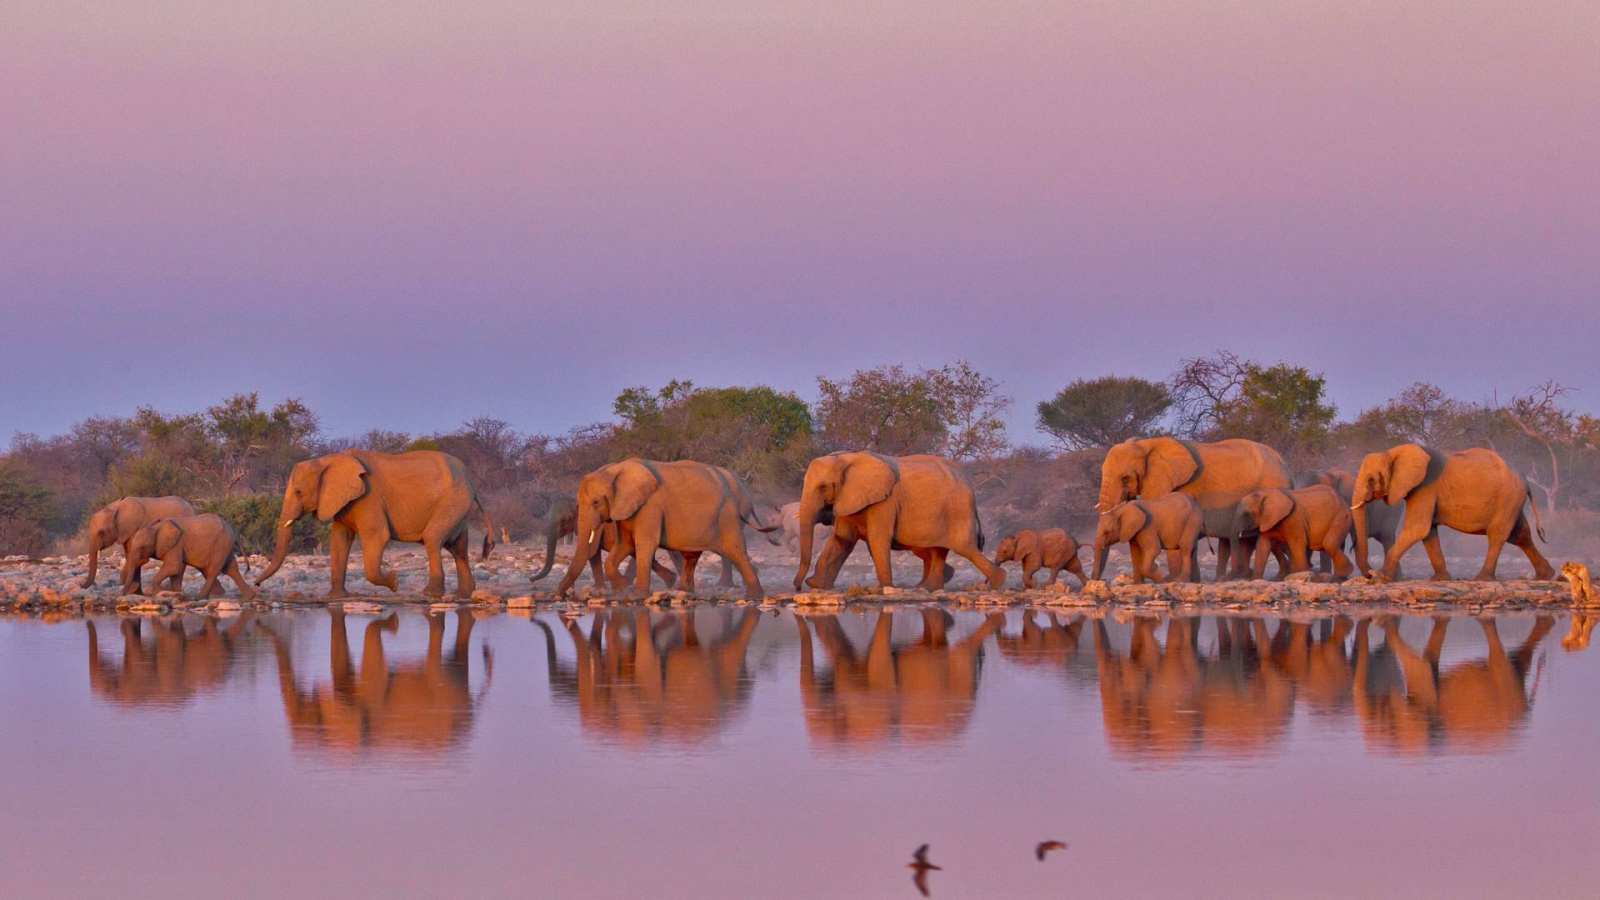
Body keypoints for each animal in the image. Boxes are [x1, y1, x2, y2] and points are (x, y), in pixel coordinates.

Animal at [120, 514, 257, 601]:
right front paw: (176, 595)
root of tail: (232, 530)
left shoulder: (176, 544)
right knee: (231, 569)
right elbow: (176, 571)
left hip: (221, 545)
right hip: (225, 546)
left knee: (213, 570)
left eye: (143, 547)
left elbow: (174, 567)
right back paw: (249, 597)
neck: (156, 527)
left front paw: (159, 592)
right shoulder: (176, 546)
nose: (121, 595)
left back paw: (199, 598)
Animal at [255, 449, 495, 599]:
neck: (329, 459)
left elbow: (377, 536)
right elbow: (340, 539)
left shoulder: (368, 498)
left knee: (434, 538)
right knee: (458, 547)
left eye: (298, 492)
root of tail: (471, 481)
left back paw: (430, 594)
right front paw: (336, 597)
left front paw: (394, 582)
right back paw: (463, 594)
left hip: (454, 500)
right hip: (458, 506)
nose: (256, 585)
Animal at [556, 458, 773, 600]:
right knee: (692, 556)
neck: (614, 470)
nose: (560, 595)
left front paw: (636, 594)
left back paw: (754, 596)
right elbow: (624, 545)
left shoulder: (650, 506)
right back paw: (684, 591)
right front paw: (624, 589)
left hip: (726, 516)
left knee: (735, 551)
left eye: (595, 502)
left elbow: (644, 544)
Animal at [792, 452, 1002, 592]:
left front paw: (885, 589)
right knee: (937, 550)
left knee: (964, 548)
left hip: (957, 511)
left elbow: (877, 539)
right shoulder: (847, 497)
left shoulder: (885, 501)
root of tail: (970, 484)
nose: (797, 587)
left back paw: (996, 583)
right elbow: (841, 540)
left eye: (823, 487)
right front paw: (816, 585)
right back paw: (927, 588)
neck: (846, 457)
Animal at [1351, 445, 1555, 581]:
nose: (1368, 574)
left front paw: (1380, 577)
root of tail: (1526, 480)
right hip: (1512, 501)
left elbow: (1417, 528)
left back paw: (1482, 579)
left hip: (1508, 498)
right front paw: (1440, 580)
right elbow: (1428, 532)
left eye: (1371, 479)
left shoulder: (1426, 487)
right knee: (1520, 535)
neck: (1393, 451)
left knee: (1498, 534)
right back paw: (1545, 575)